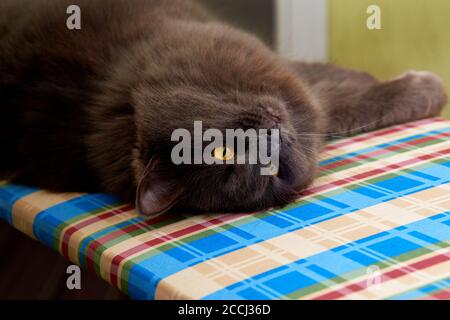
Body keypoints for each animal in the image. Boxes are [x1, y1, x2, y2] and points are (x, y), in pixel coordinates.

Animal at [0, 1, 446, 216]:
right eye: (228, 159)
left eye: (218, 149)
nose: (265, 143)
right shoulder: (307, 106)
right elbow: (348, 104)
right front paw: (429, 87)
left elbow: (335, 83)